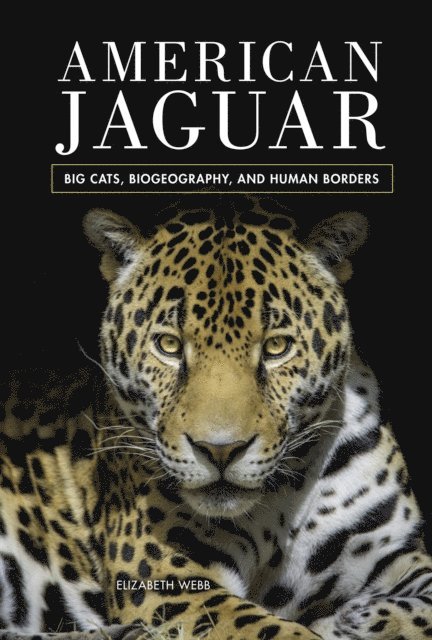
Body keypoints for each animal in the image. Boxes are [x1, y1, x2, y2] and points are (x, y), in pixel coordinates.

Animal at [0, 197, 431, 640]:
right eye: (169, 345)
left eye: (276, 347)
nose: (220, 451)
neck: (282, 501)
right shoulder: (166, 578)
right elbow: (274, 631)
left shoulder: (398, 552)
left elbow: (423, 607)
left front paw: (361, 618)